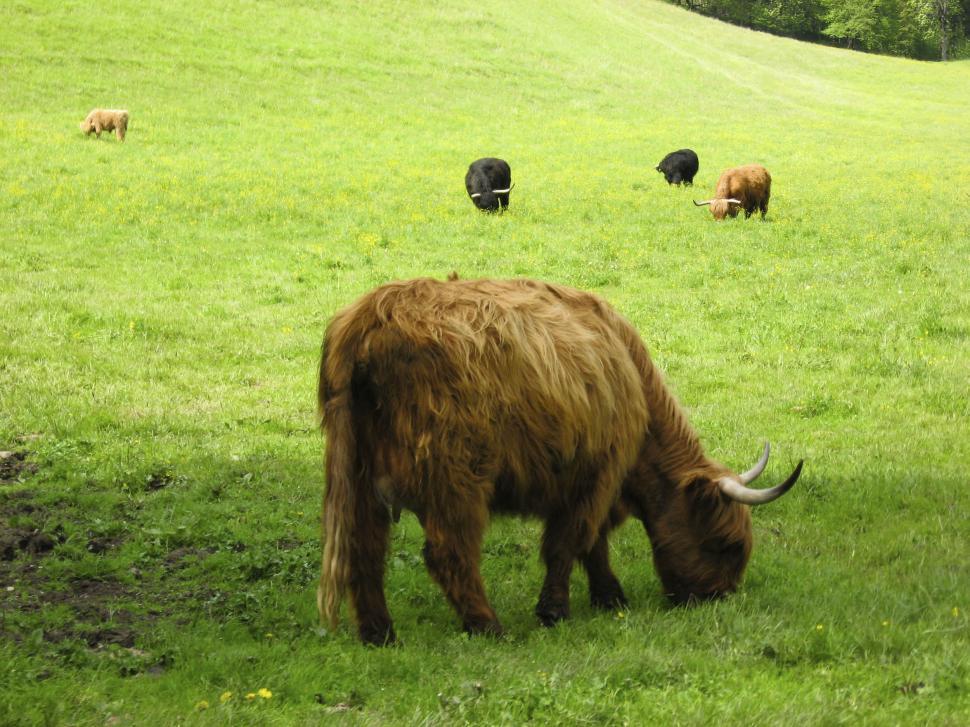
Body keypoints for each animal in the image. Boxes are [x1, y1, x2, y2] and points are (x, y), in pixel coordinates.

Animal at [317, 277, 802, 645]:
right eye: (727, 545)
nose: (718, 598)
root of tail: (371, 317)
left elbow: (593, 542)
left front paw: (609, 597)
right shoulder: (595, 474)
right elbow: (570, 542)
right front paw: (556, 610)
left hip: (358, 478)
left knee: (364, 550)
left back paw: (380, 634)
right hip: (456, 477)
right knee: (449, 552)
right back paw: (488, 626)